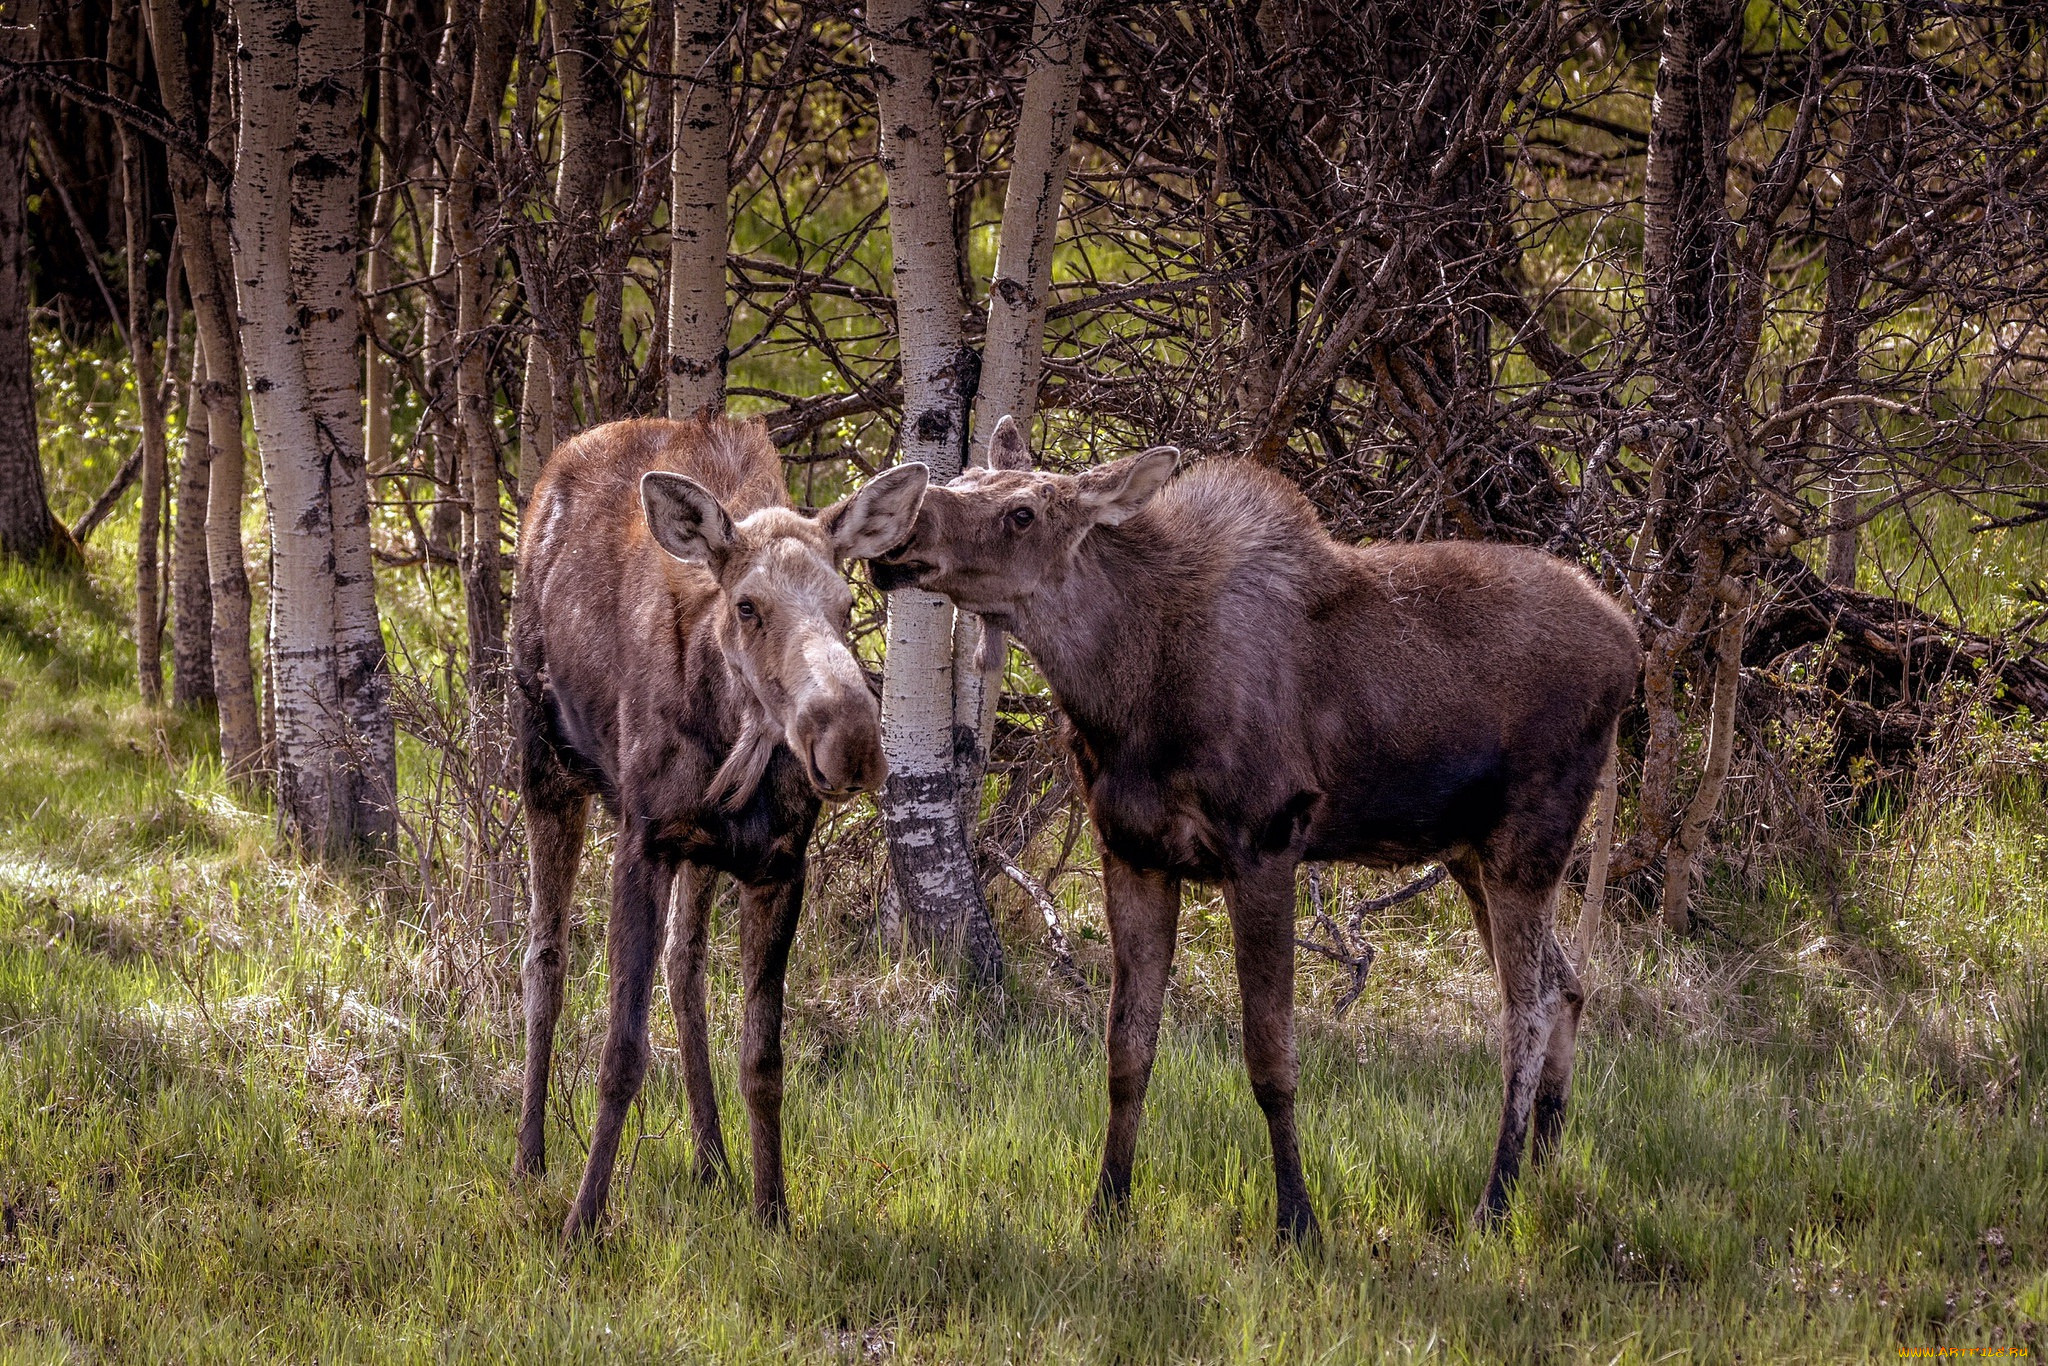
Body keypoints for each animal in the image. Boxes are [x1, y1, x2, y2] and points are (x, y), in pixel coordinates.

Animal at [512, 413, 929, 1236]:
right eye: (748, 606)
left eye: (845, 605)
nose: (852, 743)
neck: (730, 740)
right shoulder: (642, 844)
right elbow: (621, 1054)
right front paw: (584, 1220)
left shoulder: (778, 867)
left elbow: (763, 1060)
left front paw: (772, 1209)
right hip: (547, 772)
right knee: (544, 956)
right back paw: (530, 1156)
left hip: (700, 854)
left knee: (686, 968)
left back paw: (712, 1161)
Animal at [872, 421, 1638, 1245]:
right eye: (967, 478)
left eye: (1022, 513)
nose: (904, 528)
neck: (1124, 696)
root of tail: (1631, 648)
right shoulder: (1133, 855)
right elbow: (1126, 1053)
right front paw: (1106, 1206)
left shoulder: (1266, 847)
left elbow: (1273, 1061)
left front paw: (1298, 1220)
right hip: (1471, 854)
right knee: (1568, 984)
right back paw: (1542, 1172)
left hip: (1529, 841)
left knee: (1527, 1011)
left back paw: (1495, 1200)